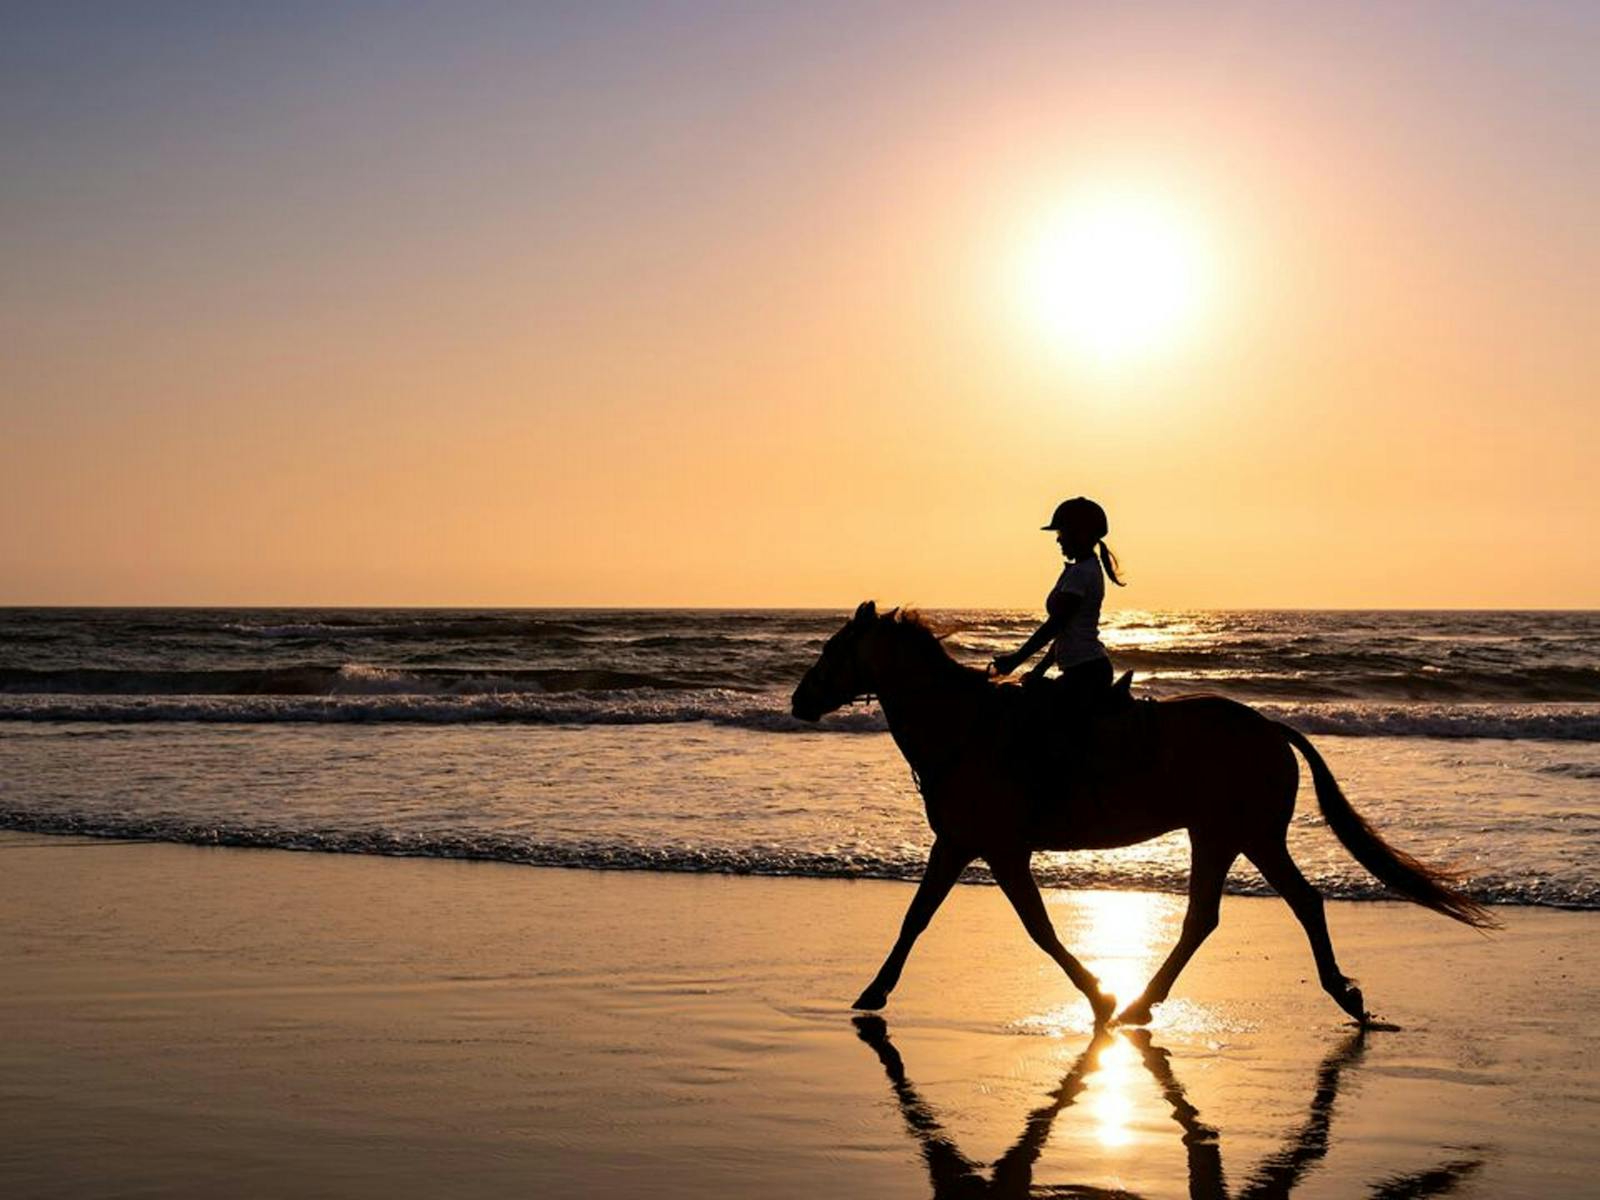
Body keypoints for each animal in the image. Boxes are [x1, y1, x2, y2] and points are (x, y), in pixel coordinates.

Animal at [790, 602, 1495, 1026]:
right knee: (1282, 905)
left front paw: (1099, 994)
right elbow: (918, 918)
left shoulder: (995, 846)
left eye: (831, 650)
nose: (799, 701)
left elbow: (1033, 928)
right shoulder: (964, 843)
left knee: (1223, 914)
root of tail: (1269, 727)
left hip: (1229, 833)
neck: (966, 728)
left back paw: (1139, 1003)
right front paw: (874, 992)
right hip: (1242, 836)